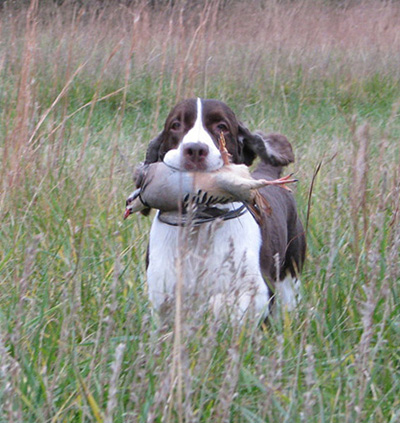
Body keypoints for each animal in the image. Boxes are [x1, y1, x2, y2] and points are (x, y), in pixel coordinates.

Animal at [133, 97, 304, 320]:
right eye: (175, 125)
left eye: (221, 126)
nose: (195, 150)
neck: (200, 228)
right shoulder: (161, 293)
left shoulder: (260, 289)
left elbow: (223, 303)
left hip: (291, 272)